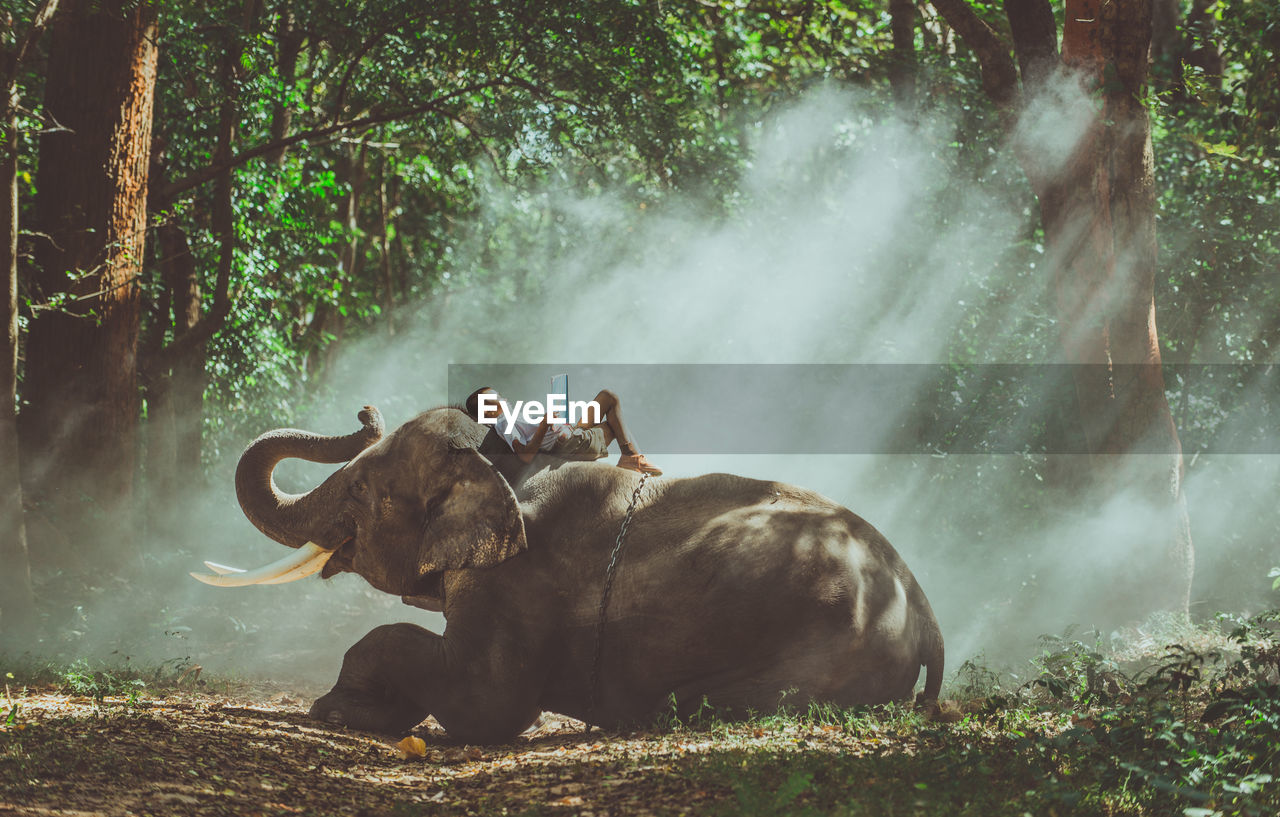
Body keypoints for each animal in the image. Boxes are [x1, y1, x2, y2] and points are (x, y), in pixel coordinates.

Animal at [194, 407, 947, 747]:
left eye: (363, 492)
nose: (364, 415)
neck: (501, 467)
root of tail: (927, 613)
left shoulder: (515, 584)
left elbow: (488, 707)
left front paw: (335, 710)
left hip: (823, 655)